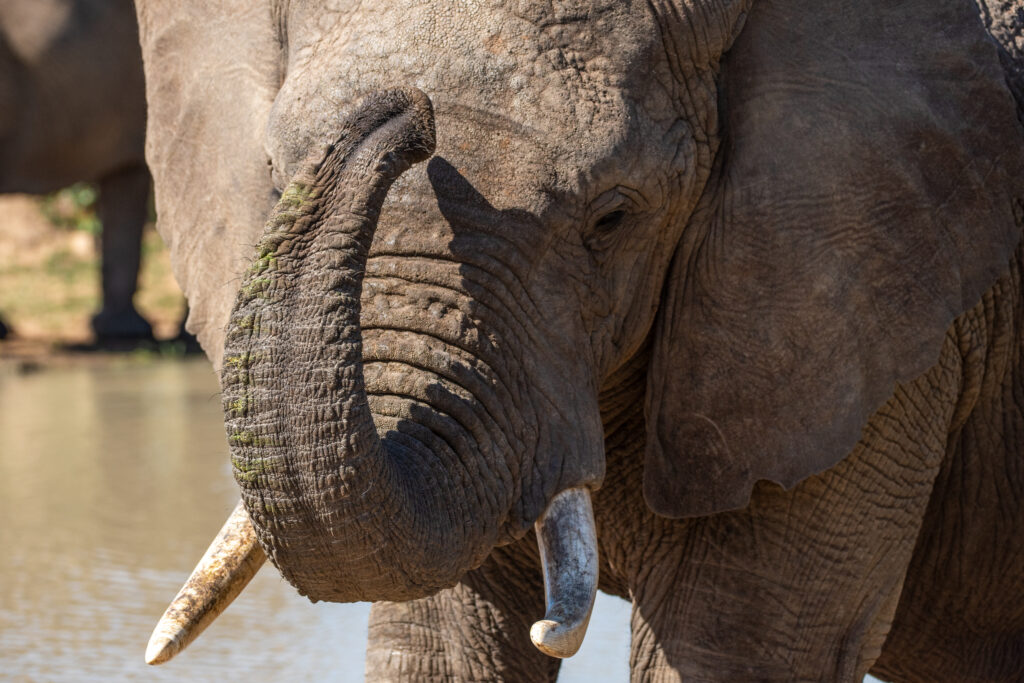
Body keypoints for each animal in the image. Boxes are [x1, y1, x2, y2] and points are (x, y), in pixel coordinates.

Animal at [136, 0, 1024, 679]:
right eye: (272, 176)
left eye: (613, 217)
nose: (409, 113)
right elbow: (443, 643)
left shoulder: (870, 309)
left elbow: (735, 646)